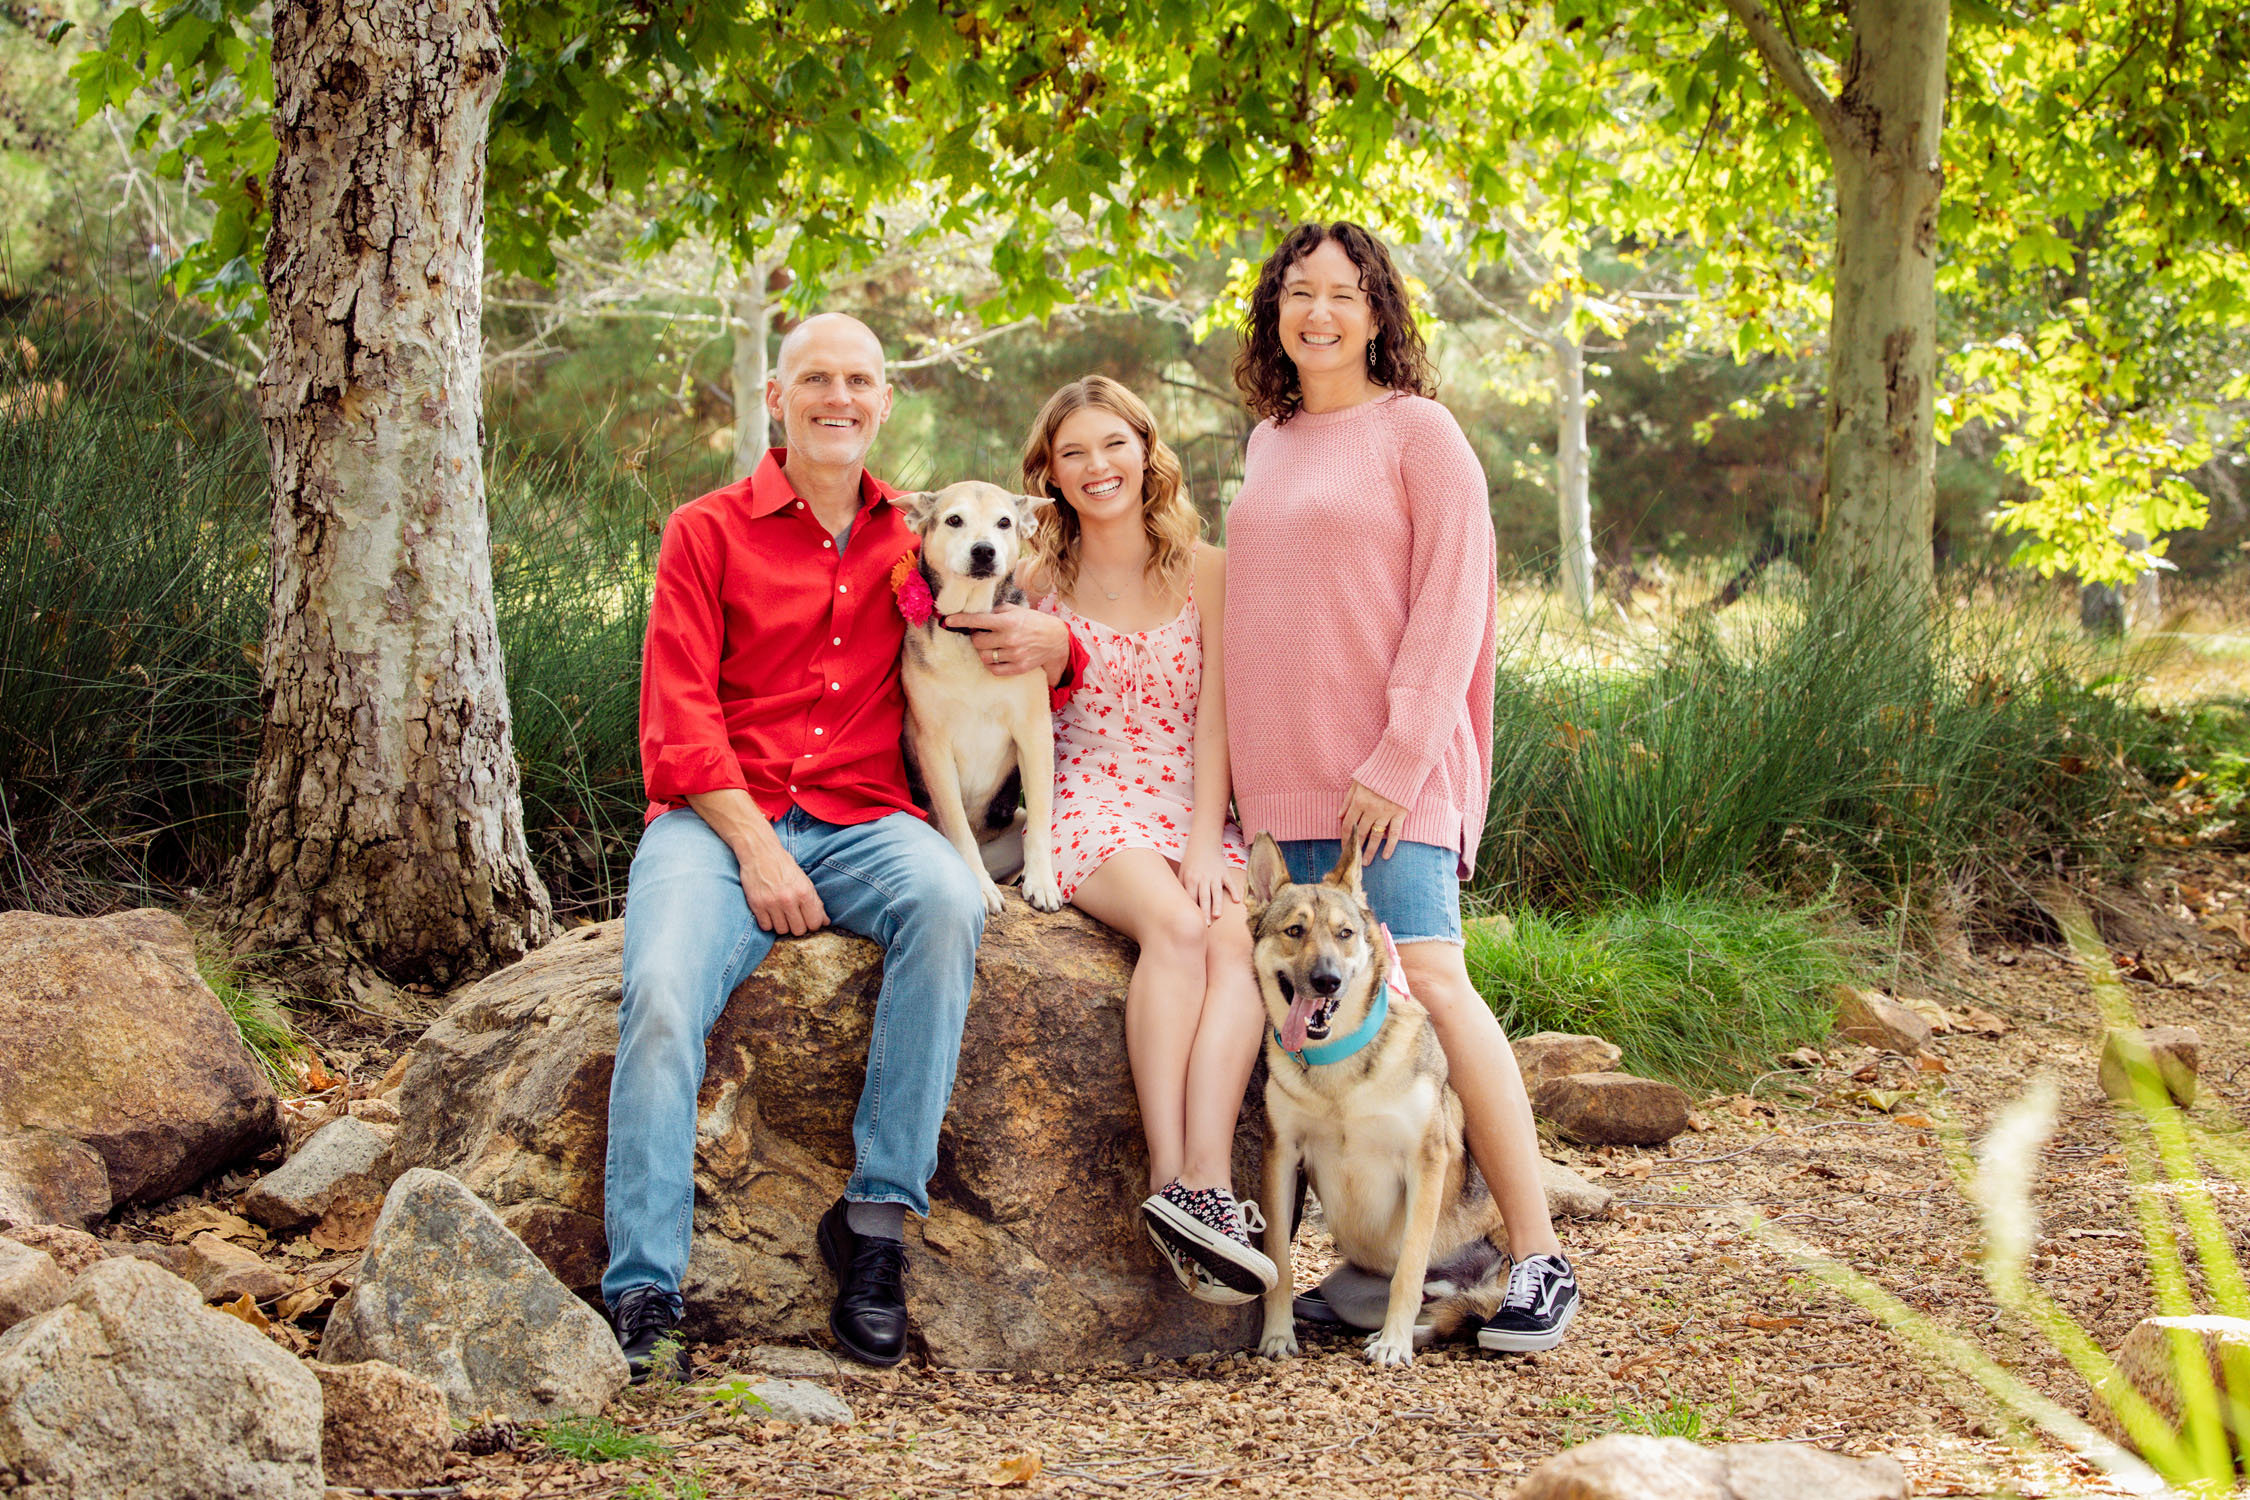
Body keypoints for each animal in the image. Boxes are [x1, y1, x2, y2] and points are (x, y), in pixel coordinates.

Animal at [895, 481, 1062, 917]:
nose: (984, 551)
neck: (971, 628)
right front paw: (981, 887)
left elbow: (1041, 819)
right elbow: (956, 825)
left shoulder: (1034, 733)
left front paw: (1042, 881)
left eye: (1004, 522)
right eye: (954, 520)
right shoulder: (933, 746)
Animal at [1251, 841, 1512, 1367]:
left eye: (1345, 934)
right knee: (1440, 1313)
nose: (1327, 980)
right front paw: (1278, 1334)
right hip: (1347, 1292)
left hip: (1484, 1283)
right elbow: (1280, 1263)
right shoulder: (1282, 1156)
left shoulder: (1424, 1163)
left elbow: (1408, 1271)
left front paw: (1393, 1344)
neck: (1338, 1067)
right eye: (1295, 931)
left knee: (1457, 1315)